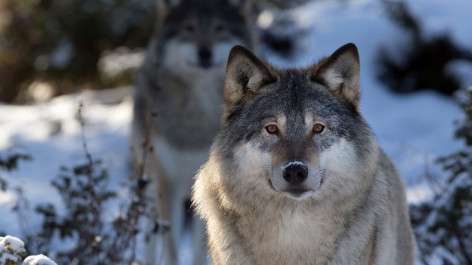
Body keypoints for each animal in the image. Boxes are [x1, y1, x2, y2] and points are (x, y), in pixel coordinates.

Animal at [131, 0, 256, 264]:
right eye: (189, 28)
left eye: (220, 28)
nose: (204, 52)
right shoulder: (168, 183)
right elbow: (171, 247)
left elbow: (203, 246)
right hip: (150, 184)